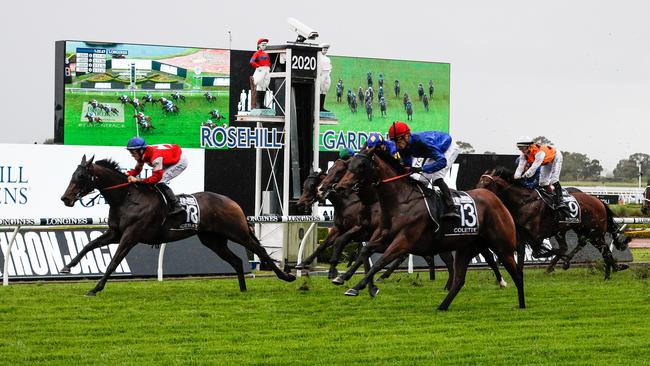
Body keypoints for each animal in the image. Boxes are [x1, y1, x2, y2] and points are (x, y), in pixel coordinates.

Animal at [60, 156, 294, 296]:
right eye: (72, 175)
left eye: (81, 176)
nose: (65, 199)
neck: (127, 197)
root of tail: (232, 201)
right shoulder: (115, 233)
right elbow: (89, 245)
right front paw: (67, 267)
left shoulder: (130, 236)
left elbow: (113, 262)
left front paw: (95, 288)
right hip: (213, 240)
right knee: (237, 260)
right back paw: (243, 289)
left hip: (237, 233)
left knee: (260, 250)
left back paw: (287, 276)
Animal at [334, 147, 520, 310]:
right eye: (349, 165)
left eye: (362, 165)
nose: (339, 187)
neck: (401, 202)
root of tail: (494, 198)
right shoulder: (385, 238)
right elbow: (365, 253)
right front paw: (360, 284)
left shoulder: (403, 242)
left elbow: (379, 262)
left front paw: (357, 287)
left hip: (495, 241)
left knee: (494, 259)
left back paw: (502, 283)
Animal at [476, 167, 628, 278]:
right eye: (479, 181)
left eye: (487, 183)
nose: (476, 194)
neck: (524, 201)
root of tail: (599, 201)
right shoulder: (522, 235)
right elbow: (518, 252)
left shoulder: (536, 235)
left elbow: (537, 252)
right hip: (576, 229)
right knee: (577, 245)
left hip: (594, 232)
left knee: (602, 248)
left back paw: (614, 267)